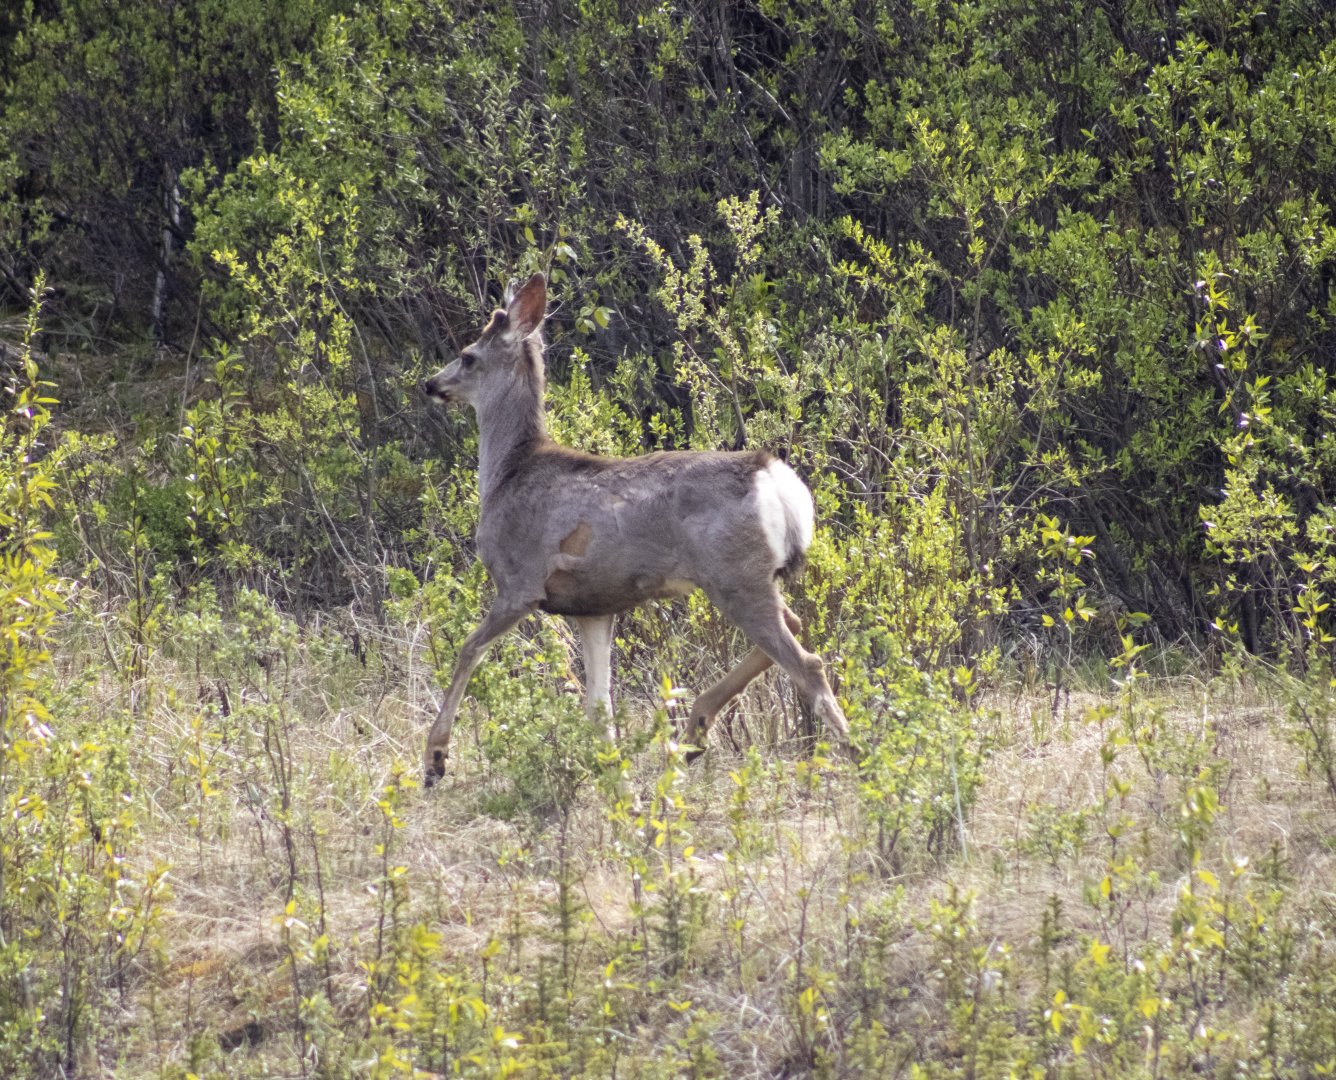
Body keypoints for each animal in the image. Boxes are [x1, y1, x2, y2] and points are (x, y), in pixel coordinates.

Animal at [418, 272, 849, 785]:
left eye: (468, 355)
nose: (431, 384)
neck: (507, 473)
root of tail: (774, 476)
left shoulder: (519, 583)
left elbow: (469, 649)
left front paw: (436, 757)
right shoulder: (594, 607)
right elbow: (598, 704)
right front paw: (614, 778)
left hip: (735, 576)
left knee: (808, 661)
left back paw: (857, 755)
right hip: (747, 578)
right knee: (796, 626)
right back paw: (692, 733)